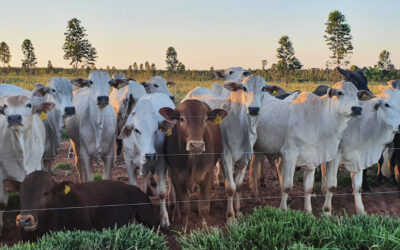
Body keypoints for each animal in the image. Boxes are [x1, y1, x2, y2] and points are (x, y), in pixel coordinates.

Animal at [119, 93, 175, 228]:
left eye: (155, 130)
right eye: (136, 130)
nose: (150, 155)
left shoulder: (161, 164)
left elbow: (162, 192)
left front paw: (164, 219)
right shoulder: (129, 163)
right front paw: (134, 222)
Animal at [159, 99, 228, 227]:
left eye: (205, 119)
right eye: (181, 119)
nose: (196, 145)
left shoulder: (208, 175)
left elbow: (203, 208)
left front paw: (204, 228)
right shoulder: (176, 177)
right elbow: (184, 206)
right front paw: (184, 228)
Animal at [252, 81, 368, 213]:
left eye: (357, 94)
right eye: (339, 93)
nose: (357, 108)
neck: (319, 120)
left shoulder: (312, 158)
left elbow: (308, 188)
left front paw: (308, 211)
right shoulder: (289, 155)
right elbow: (287, 186)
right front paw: (283, 209)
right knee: (254, 169)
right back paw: (256, 195)